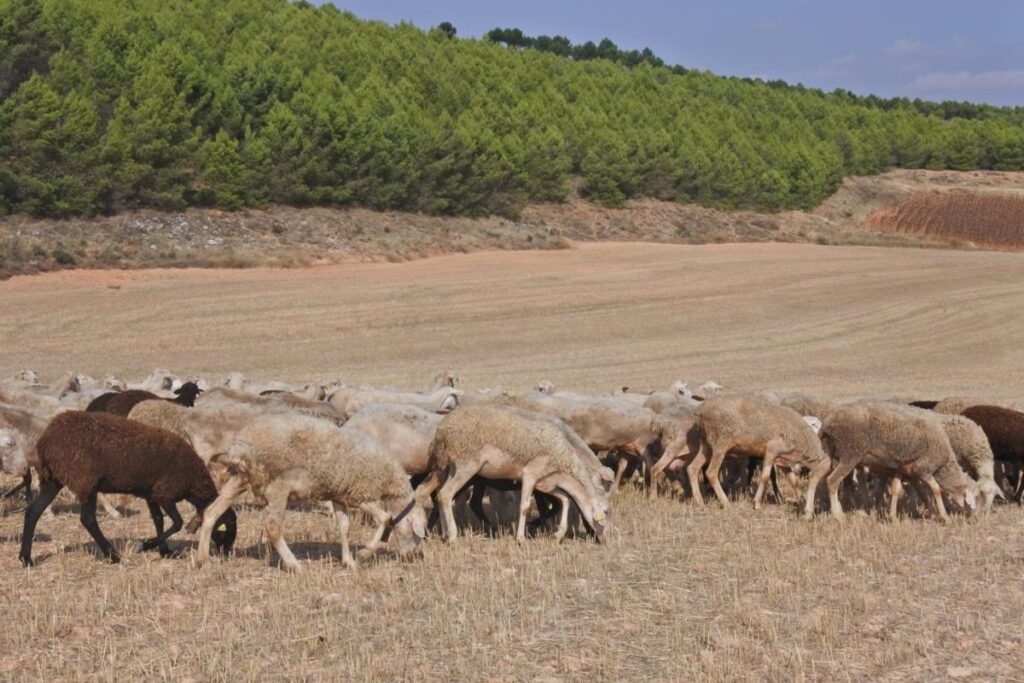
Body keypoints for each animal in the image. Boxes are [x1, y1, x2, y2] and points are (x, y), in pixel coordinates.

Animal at [19, 411, 235, 565]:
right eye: (228, 528)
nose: (227, 553)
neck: (194, 483)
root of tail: (46, 441)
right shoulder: (166, 492)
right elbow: (177, 523)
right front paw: (146, 545)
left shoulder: (151, 493)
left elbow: (159, 520)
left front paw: (164, 550)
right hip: (86, 480)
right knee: (88, 519)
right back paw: (113, 555)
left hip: (54, 479)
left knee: (33, 512)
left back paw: (26, 558)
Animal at [197, 417, 425, 573]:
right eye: (416, 534)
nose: (413, 556)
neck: (389, 480)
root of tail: (238, 448)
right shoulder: (360, 494)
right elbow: (385, 519)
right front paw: (363, 555)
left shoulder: (340, 493)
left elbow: (344, 527)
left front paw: (348, 561)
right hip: (276, 486)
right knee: (273, 529)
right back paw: (295, 565)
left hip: (239, 480)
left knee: (211, 512)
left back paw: (202, 558)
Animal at [413, 405, 606, 544]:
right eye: (605, 511)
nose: (604, 540)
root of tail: (443, 429)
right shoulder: (530, 475)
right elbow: (525, 506)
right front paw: (520, 538)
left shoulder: (546, 484)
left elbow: (564, 500)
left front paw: (557, 535)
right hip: (466, 466)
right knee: (445, 495)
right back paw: (452, 536)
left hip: (444, 469)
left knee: (428, 493)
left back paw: (435, 533)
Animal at [688, 395, 831, 518]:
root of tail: (700, 412)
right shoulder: (771, 451)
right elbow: (765, 477)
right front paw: (756, 503)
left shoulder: (783, 461)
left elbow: (794, 482)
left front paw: (801, 503)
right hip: (720, 444)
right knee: (711, 472)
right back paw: (725, 502)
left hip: (706, 445)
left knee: (692, 468)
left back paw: (699, 501)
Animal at [815, 401, 974, 524]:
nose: (972, 517)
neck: (943, 465)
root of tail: (826, 424)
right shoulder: (923, 468)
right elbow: (936, 489)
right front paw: (945, 517)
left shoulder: (902, 469)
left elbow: (898, 490)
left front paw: (893, 517)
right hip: (850, 455)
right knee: (832, 481)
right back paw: (838, 516)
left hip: (833, 454)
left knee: (822, 477)